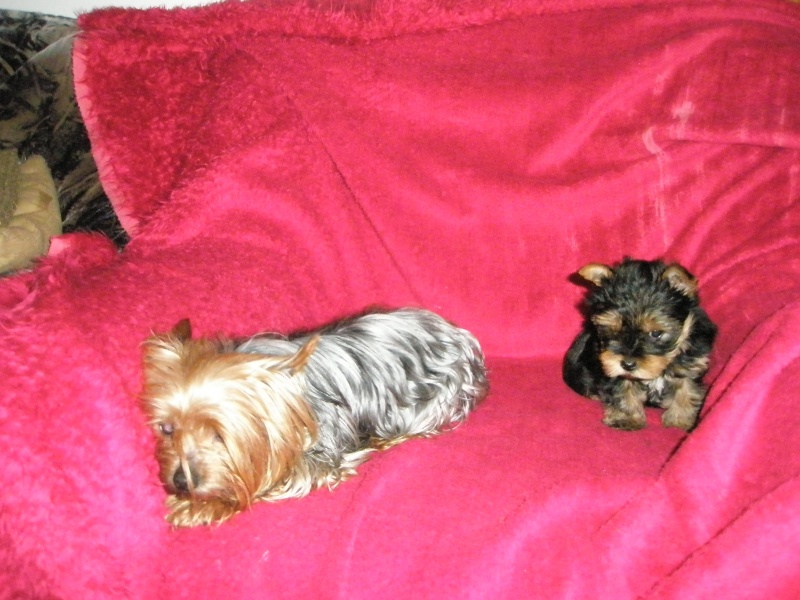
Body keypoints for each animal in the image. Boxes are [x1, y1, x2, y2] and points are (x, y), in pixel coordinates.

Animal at [141, 308, 488, 526]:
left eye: (219, 435)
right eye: (167, 428)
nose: (181, 482)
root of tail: (457, 334)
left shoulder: (319, 457)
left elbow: (267, 483)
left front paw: (204, 505)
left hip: (436, 397)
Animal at [563, 258, 717, 431]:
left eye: (656, 333)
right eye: (612, 330)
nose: (628, 364)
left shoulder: (691, 364)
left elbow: (687, 390)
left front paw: (680, 421)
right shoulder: (612, 367)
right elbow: (623, 390)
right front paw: (626, 418)